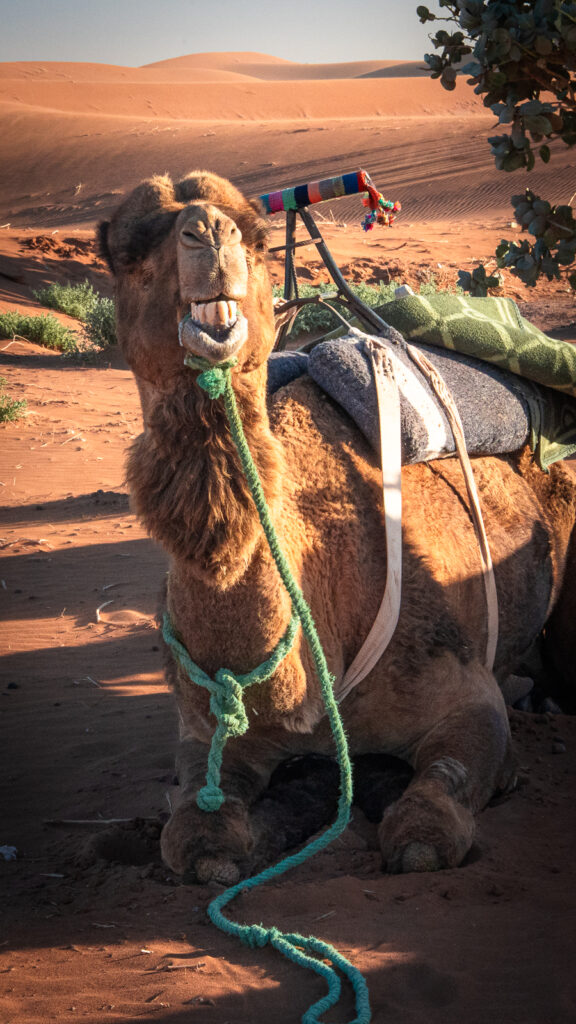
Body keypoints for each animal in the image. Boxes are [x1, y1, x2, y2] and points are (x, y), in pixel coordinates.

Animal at [99, 170, 576, 882]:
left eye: (257, 237)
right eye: (125, 253)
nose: (208, 232)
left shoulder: (464, 695)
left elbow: (426, 828)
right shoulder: (206, 734)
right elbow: (197, 838)